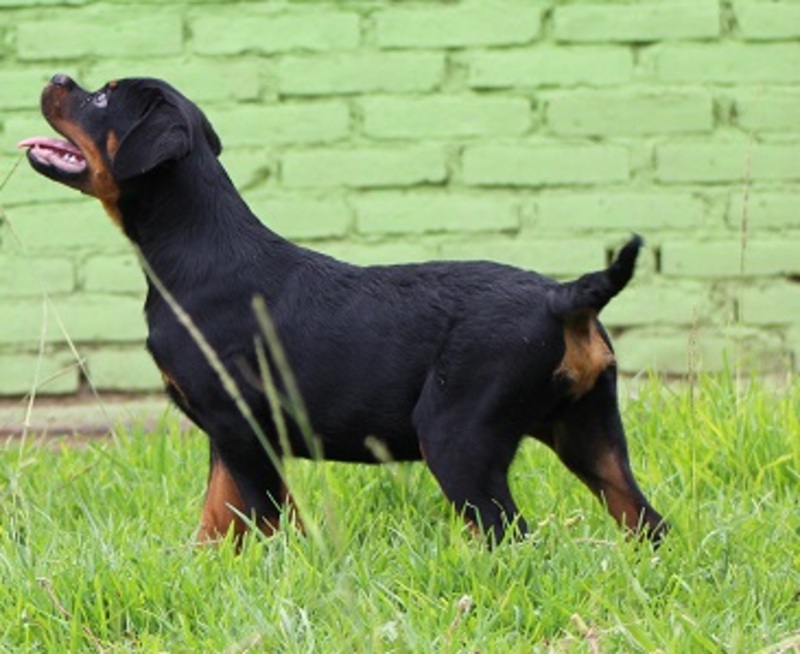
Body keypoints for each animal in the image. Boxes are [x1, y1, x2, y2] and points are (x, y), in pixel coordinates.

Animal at [19, 74, 667, 546]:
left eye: (102, 97)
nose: (55, 77)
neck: (190, 246)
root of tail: (565, 296)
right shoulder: (231, 438)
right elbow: (216, 516)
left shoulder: (242, 428)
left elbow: (260, 517)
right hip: (588, 430)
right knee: (644, 519)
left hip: (459, 437)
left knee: (509, 533)